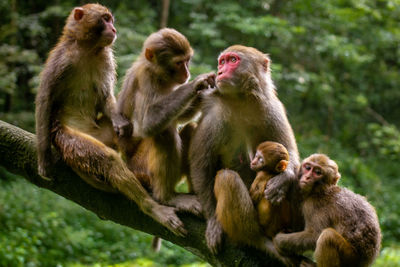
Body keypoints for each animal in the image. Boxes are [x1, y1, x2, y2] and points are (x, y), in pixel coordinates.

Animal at [33, 4, 187, 238]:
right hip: (70, 138)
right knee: (109, 160)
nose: (113, 29)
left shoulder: (105, 59)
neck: (88, 50)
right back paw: (152, 207)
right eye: (105, 19)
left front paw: (119, 121)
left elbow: (105, 96)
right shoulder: (60, 60)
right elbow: (45, 98)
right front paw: (43, 158)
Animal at [116, 27, 216, 216]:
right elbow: (149, 122)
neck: (159, 75)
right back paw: (166, 197)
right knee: (165, 133)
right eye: (179, 63)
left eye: (187, 60)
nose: (187, 72)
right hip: (142, 169)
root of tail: (128, 162)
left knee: (189, 129)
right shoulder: (146, 79)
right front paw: (197, 83)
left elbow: (180, 118)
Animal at [190, 45, 300, 264]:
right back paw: (259, 241)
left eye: (233, 60)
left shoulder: (273, 107)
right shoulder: (215, 116)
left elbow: (289, 151)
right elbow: (201, 164)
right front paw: (213, 221)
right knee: (227, 179)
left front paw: (282, 180)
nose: (220, 72)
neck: (240, 99)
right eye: (222, 62)